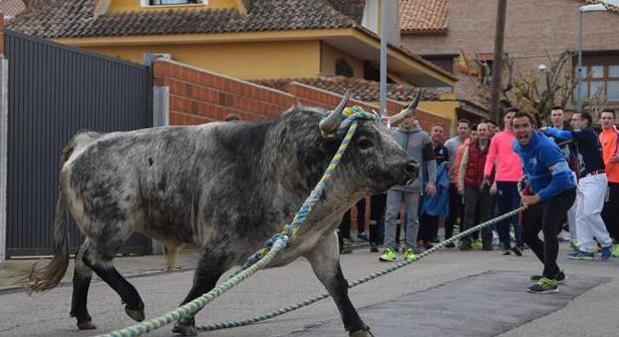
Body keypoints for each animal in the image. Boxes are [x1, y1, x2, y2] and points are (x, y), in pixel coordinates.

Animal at [24, 92, 422, 336]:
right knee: (93, 258)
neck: (284, 165)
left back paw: (84, 316)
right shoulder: (222, 240)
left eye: (389, 134)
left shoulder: (322, 242)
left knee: (83, 263)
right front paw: (184, 320)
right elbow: (204, 281)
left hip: (102, 225)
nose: (411, 166)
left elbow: (337, 285)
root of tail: (89, 141)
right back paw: (134, 303)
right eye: (363, 141)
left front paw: (358, 325)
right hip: (114, 221)